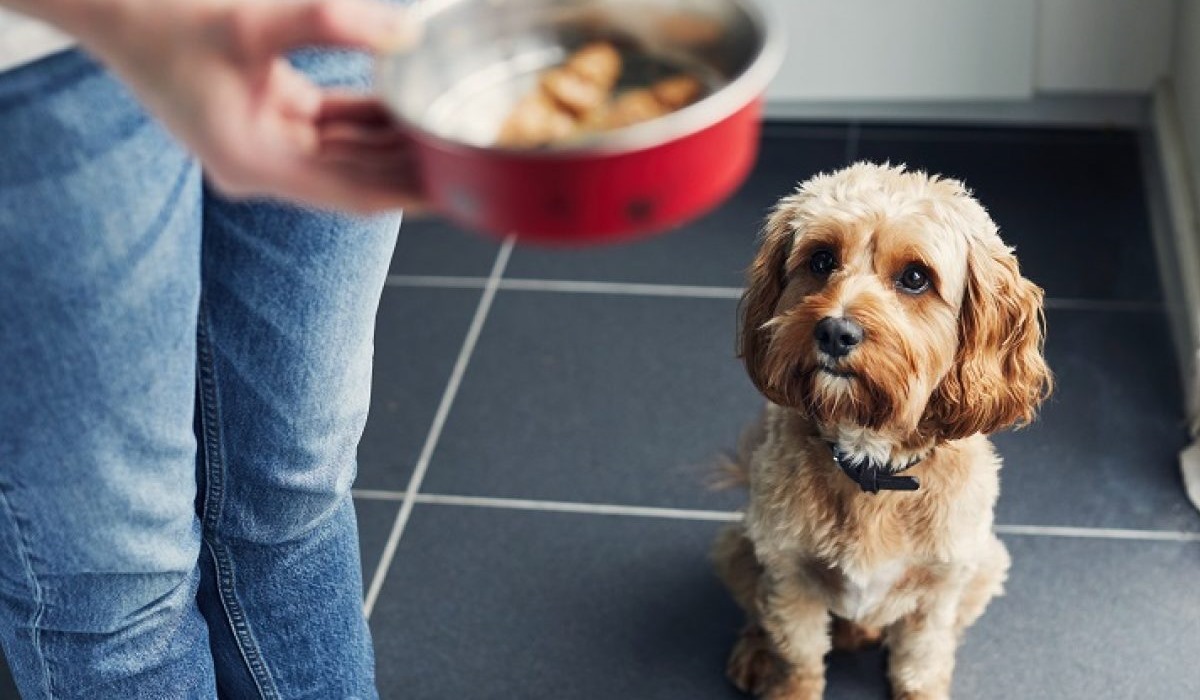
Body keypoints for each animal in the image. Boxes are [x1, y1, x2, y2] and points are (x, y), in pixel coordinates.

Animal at [710, 162, 1051, 696]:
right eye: (822, 260)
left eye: (915, 277)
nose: (835, 332)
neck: (871, 464)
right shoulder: (789, 574)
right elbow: (798, 654)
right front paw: (789, 685)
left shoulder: (941, 587)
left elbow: (921, 662)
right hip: (738, 547)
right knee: (757, 610)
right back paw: (756, 649)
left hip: (987, 564)